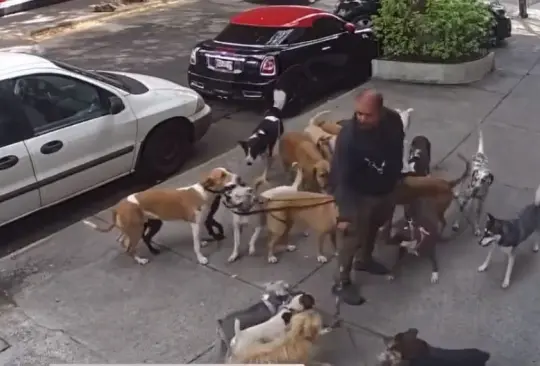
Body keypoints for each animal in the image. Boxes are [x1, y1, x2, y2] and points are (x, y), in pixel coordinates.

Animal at [81, 167, 238, 264]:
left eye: (228, 171)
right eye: (223, 176)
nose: (238, 177)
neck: (204, 192)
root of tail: (119, 206)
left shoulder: (200, 223)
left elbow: (199, 239)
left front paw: (204, 242)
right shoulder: (195, 224)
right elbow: (196, 245)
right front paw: (201, 258)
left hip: (134, 227)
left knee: (121, 240)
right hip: (137, 230)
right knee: (130, 248)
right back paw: (140, 260)